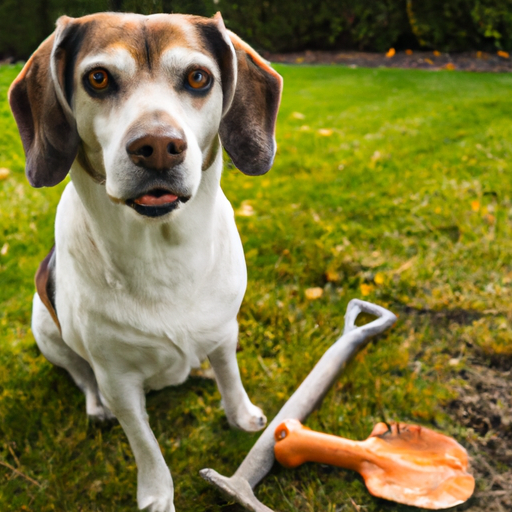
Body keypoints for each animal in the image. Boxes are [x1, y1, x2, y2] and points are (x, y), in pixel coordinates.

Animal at [8, 12, 282, 512]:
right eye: (98, 78)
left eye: (198, 78)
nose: (157, 145)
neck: (162, 249)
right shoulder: (118, 379)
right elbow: (144, 442)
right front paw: (157, 495)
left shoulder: (225, 329)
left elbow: (230, 376)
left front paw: (243, 416)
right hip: (45, 328)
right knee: (81, 376)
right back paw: (96, 407)